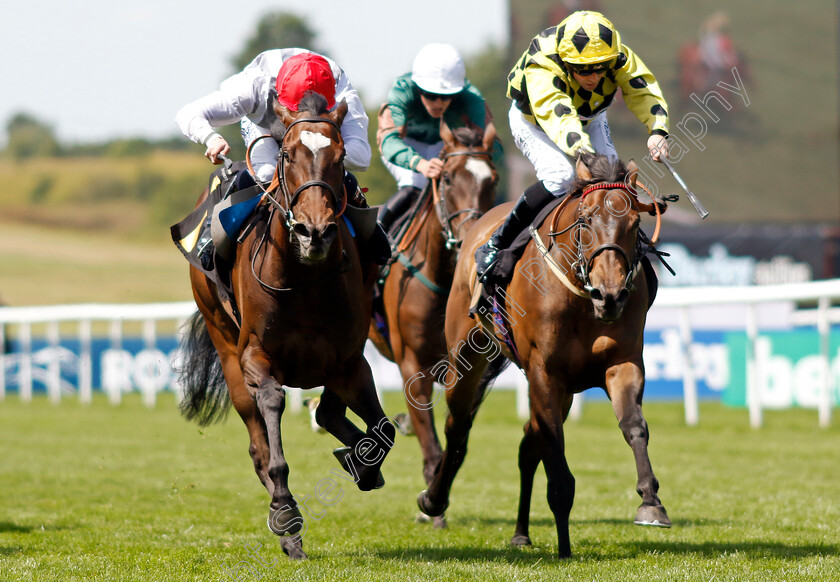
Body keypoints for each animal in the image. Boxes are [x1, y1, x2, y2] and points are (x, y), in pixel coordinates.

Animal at [177, 93, 394, 564]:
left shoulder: (350, 361)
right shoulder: (256, 357)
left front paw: (362, 465)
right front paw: (287, 516)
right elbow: (273, 412)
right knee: (257, 441)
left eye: (340, 157)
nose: (315, 232)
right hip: (225, 345)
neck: (305, 279)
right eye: (288, 154)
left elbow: (384, 430)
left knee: (330, 413)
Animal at [370, 121, 498, 528]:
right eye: (448, 178)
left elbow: (458, 435)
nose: (473, 236)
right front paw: (433, 506)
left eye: (492, 179)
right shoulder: (413, 362)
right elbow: (431, 438)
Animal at [418, 153, 668, 560]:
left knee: (526, 446)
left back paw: (521, 532)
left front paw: (651, 502)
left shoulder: (623, 363)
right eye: (586, 220)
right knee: (458, 426)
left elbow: (634, 426)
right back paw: (434, 500)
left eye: (635, 224)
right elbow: (555, 455)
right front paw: (564, 544)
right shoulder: (544, 373)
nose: (610, 295)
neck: (582, 299)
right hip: (466, 354)